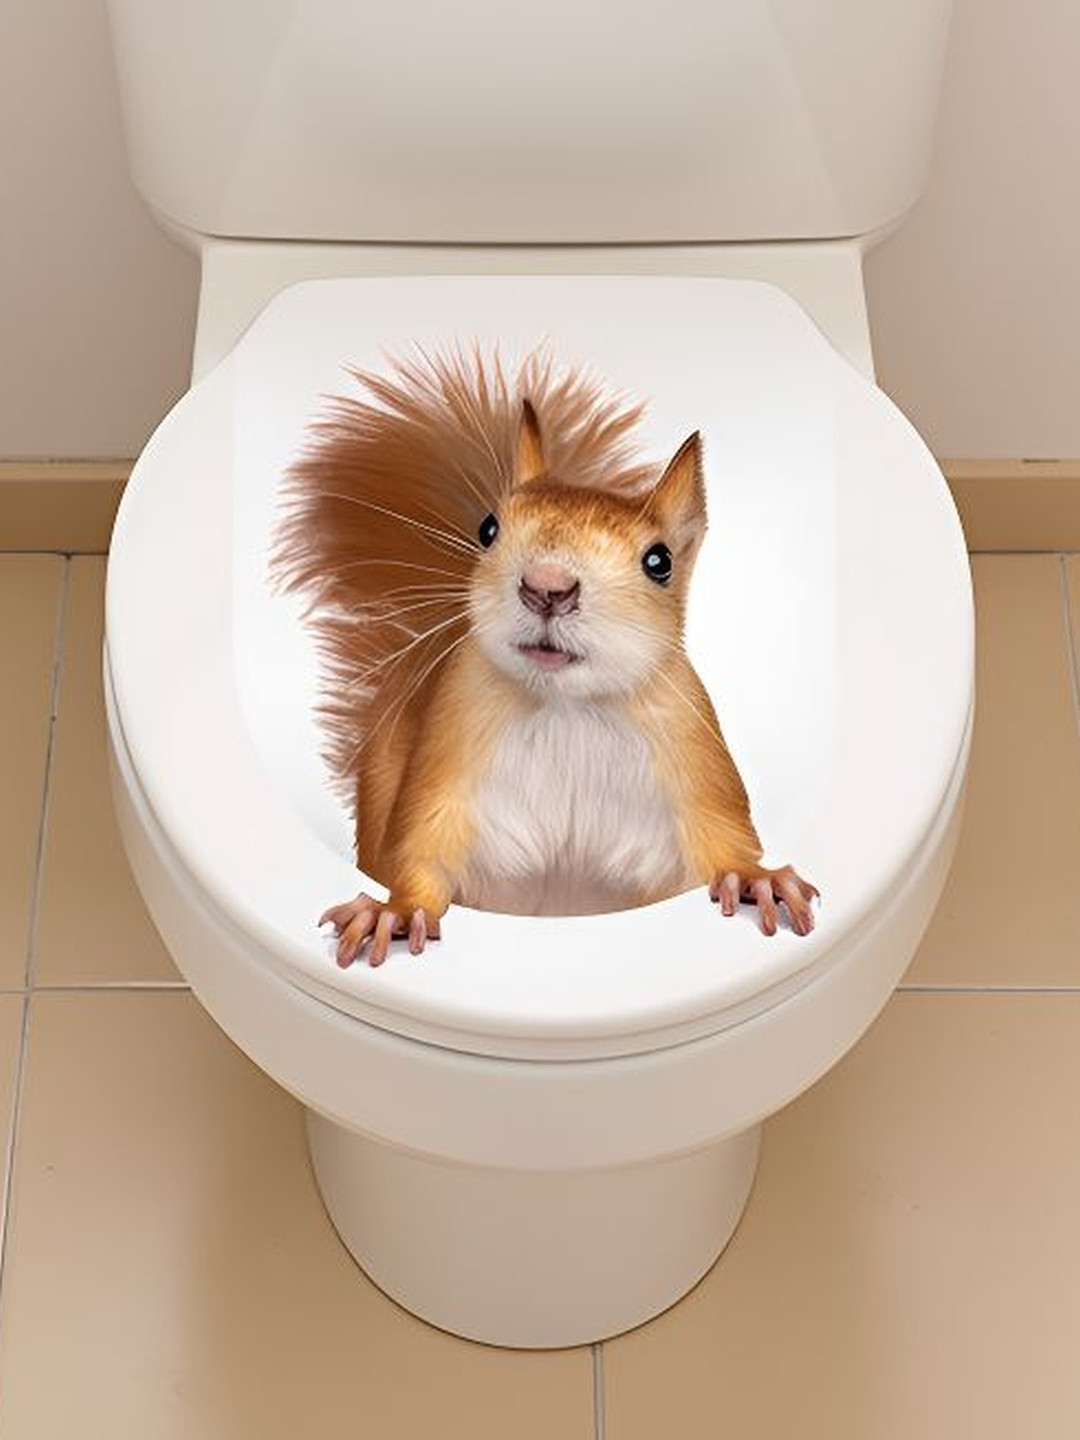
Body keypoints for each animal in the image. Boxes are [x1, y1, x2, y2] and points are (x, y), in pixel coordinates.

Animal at [273, 348, 818, 966]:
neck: (567, 709)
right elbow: (421, 852)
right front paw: (395, 911)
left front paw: (756, 880)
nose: (547, 587)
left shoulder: (695, 762)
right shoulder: (444, 763)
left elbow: (725, 841)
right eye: (488, 529)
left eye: (659, 562)